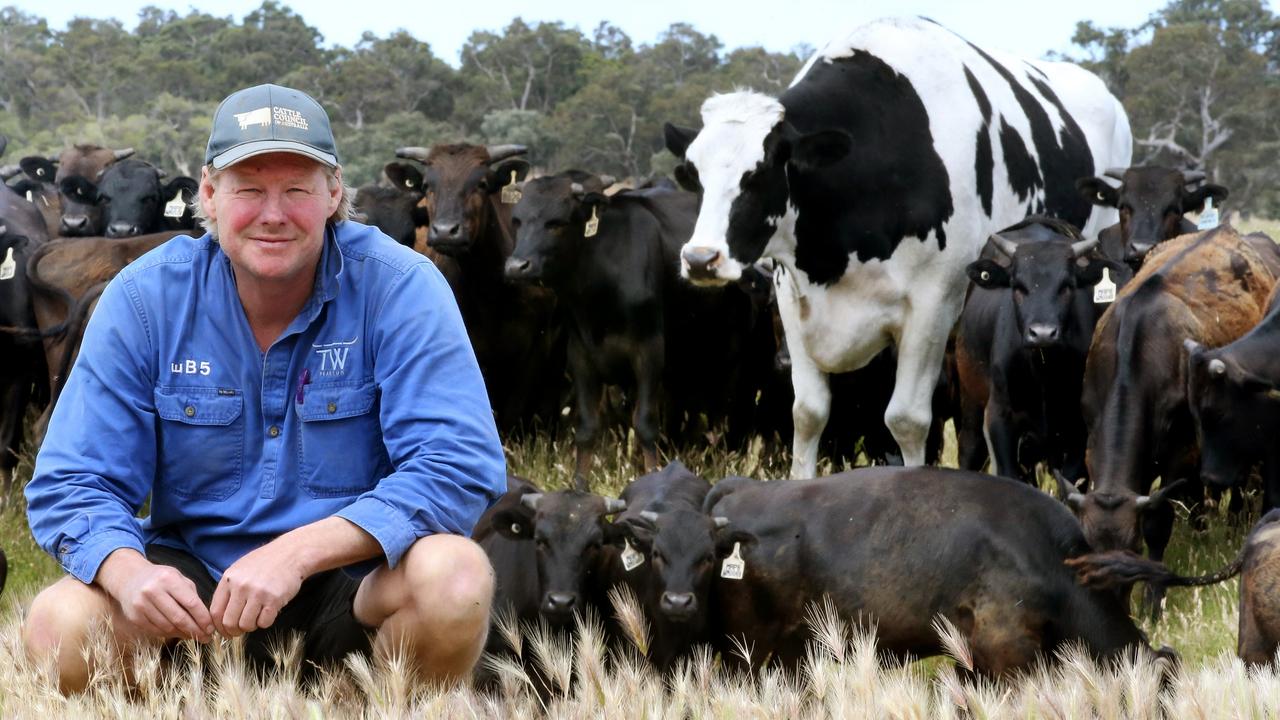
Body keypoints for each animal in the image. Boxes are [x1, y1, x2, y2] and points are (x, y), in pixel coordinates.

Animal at [957, 215, 1126, 479]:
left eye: (1066, 286)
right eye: (1018, 286)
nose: (1043, 333)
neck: (1043, 371)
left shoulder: (1079, 429)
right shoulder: (999, 418)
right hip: (971, 405)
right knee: (969, 450)